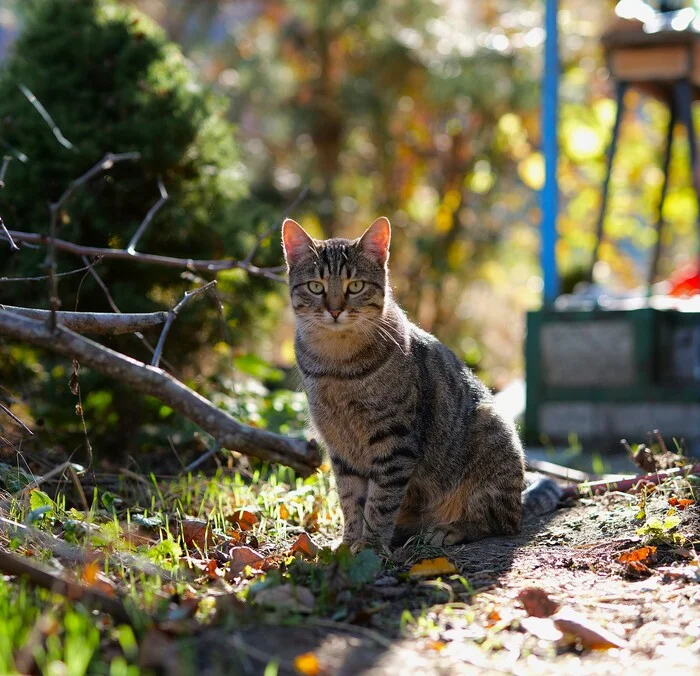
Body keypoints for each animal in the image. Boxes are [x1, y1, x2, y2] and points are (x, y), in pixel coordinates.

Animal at [282, 215, 560, 548]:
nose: (335, 310)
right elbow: (350, 499)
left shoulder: (394, 440)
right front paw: (349, 544)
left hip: (491, 436)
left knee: (499, 522)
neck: (337, 365)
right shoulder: (339, 447)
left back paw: (448, 529)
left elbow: (380, 502)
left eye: (356, 285)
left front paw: (370, 547)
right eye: (316, 286)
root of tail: (519, 499)